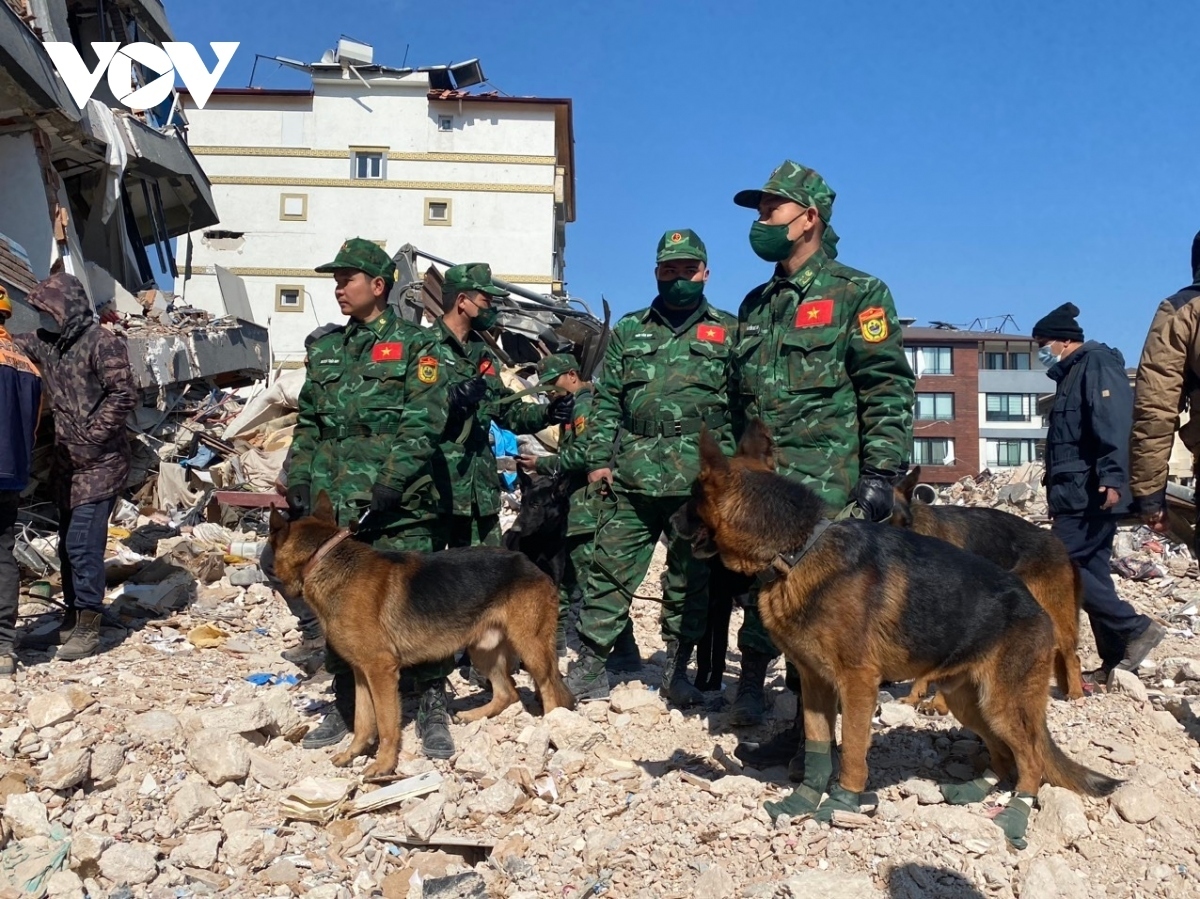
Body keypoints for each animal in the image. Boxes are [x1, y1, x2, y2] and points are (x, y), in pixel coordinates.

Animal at [268, 492, 576, 777]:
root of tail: (531, 564)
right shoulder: (361, 673)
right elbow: (362, 722)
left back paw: (550, 730)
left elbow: (385, 723)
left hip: (531, 648)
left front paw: (383, 765)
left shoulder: (381, 671)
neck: (323, 560)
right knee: (507, 692)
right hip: (482, 651)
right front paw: (352, 754)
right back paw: (474, 715)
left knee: (548, 690)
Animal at [892, 465, 1089, 705]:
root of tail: (1059, 545)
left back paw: (1076, 693)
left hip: (1055, 615)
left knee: (1072, 656)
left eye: (905, 523)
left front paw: (937, 702)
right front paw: (915, 696)